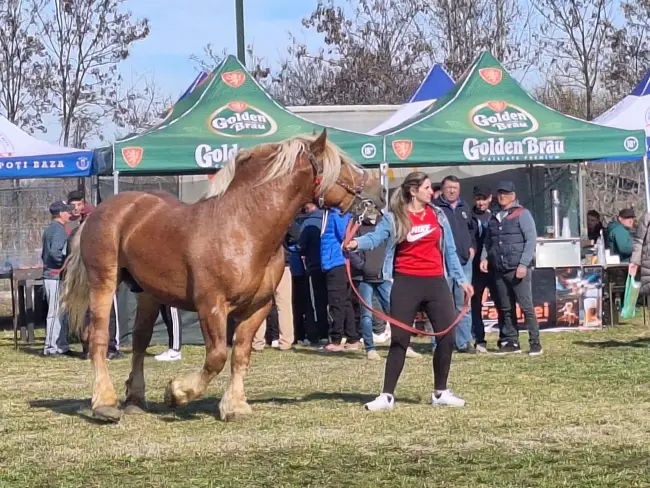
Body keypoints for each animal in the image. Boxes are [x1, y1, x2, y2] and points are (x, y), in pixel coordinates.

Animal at [58, 130, 382, 424]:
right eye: (342, 165)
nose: (375, 203)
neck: (243, 227)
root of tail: (102, 210)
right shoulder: (211, 306)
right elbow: (216, 357)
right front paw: (177, 392)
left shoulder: (258, 307)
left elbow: (240, 354)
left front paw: (235, 406)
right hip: (104, 284)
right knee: (98, 338)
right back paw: (105, 404)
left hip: (149, 293)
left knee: (139, 341)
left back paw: (135, 399)